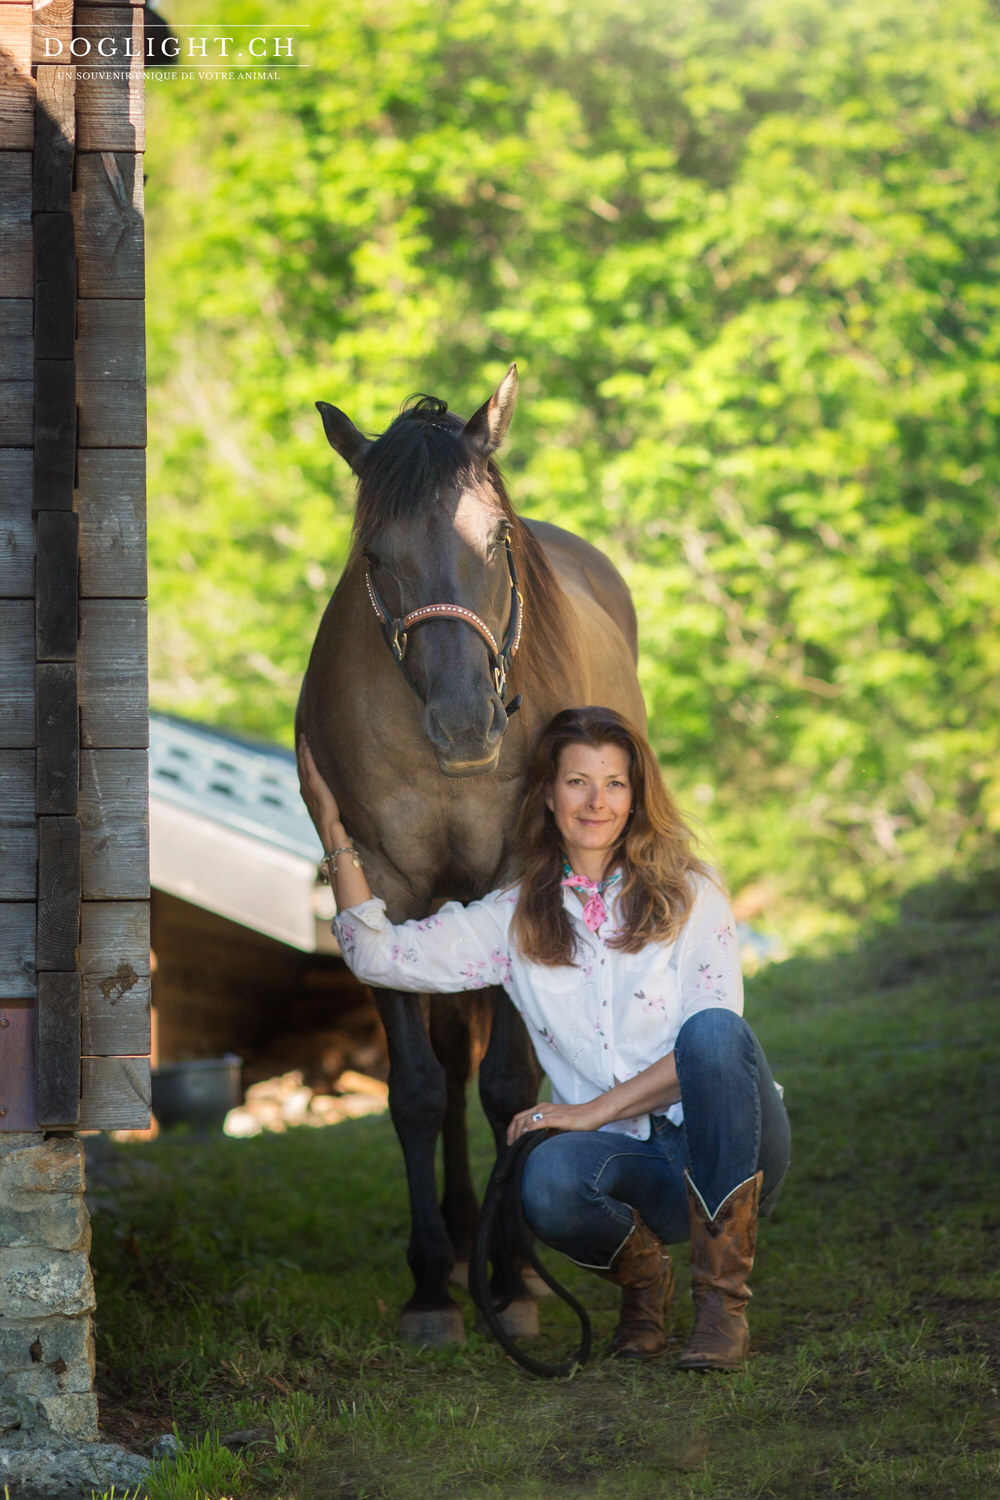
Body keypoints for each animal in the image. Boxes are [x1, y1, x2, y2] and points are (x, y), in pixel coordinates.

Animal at [293, 366, 644, 1350]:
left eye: (494, 538)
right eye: (375, 556)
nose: (462, 726)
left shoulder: (518, 884)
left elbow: (511, 1084)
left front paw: (516, 1276)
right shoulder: (385, 888)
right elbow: (416, 1089)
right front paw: (429, 1288)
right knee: (449, 1064)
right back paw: (453, 1239)